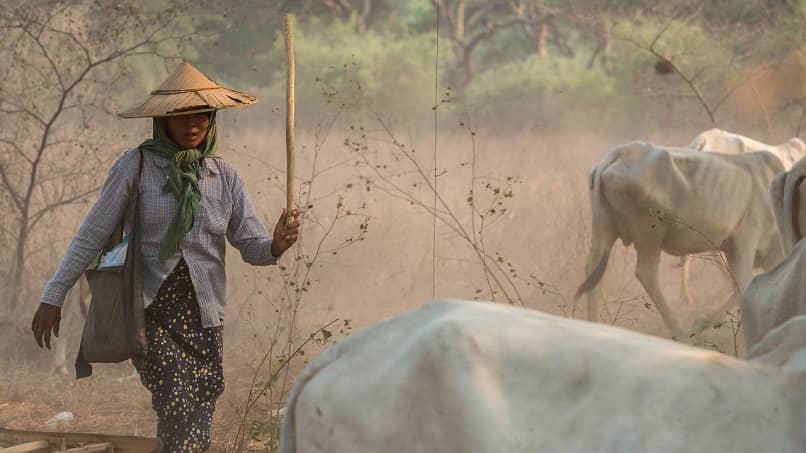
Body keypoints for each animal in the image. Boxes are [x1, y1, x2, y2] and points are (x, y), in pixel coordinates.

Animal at [576, 143, 784, 334]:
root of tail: (622, 151)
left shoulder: (738, 250)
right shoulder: (746, 239)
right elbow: (742, 284)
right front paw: (701, 323)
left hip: (604, 230)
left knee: (593, 270)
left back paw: (594, 323)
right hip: (649, 233)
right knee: (646, 273)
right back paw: (679, 329)